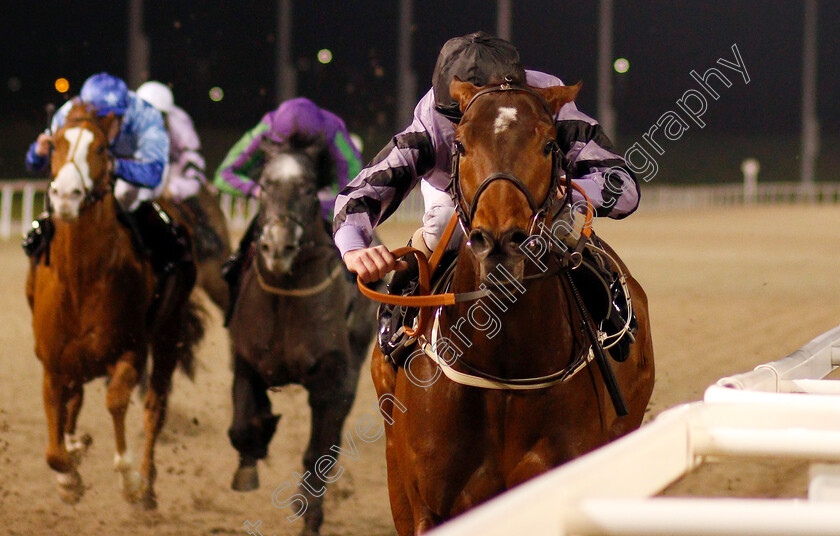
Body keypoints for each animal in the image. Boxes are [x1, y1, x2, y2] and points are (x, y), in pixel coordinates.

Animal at [25, 102, 203, 508]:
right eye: (54, 143)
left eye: (102, 148)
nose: (66, 195)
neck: (81, 281)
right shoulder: (52, 363)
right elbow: (53, 449)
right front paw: (70, 473)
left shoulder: (129, 352)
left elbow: (117, 402)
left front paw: (131, 480)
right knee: (75, 401)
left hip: (167, 334)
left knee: (155, 407)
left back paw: (147, 481)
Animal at [226, 139, 378, 536]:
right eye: (265, 185)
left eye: (309, 189)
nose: (278, 248)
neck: (285, 295)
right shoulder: (246, 361)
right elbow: (241, 427)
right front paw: (252, 455)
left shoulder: (330, 379)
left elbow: (319, 450)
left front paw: (310, 511)